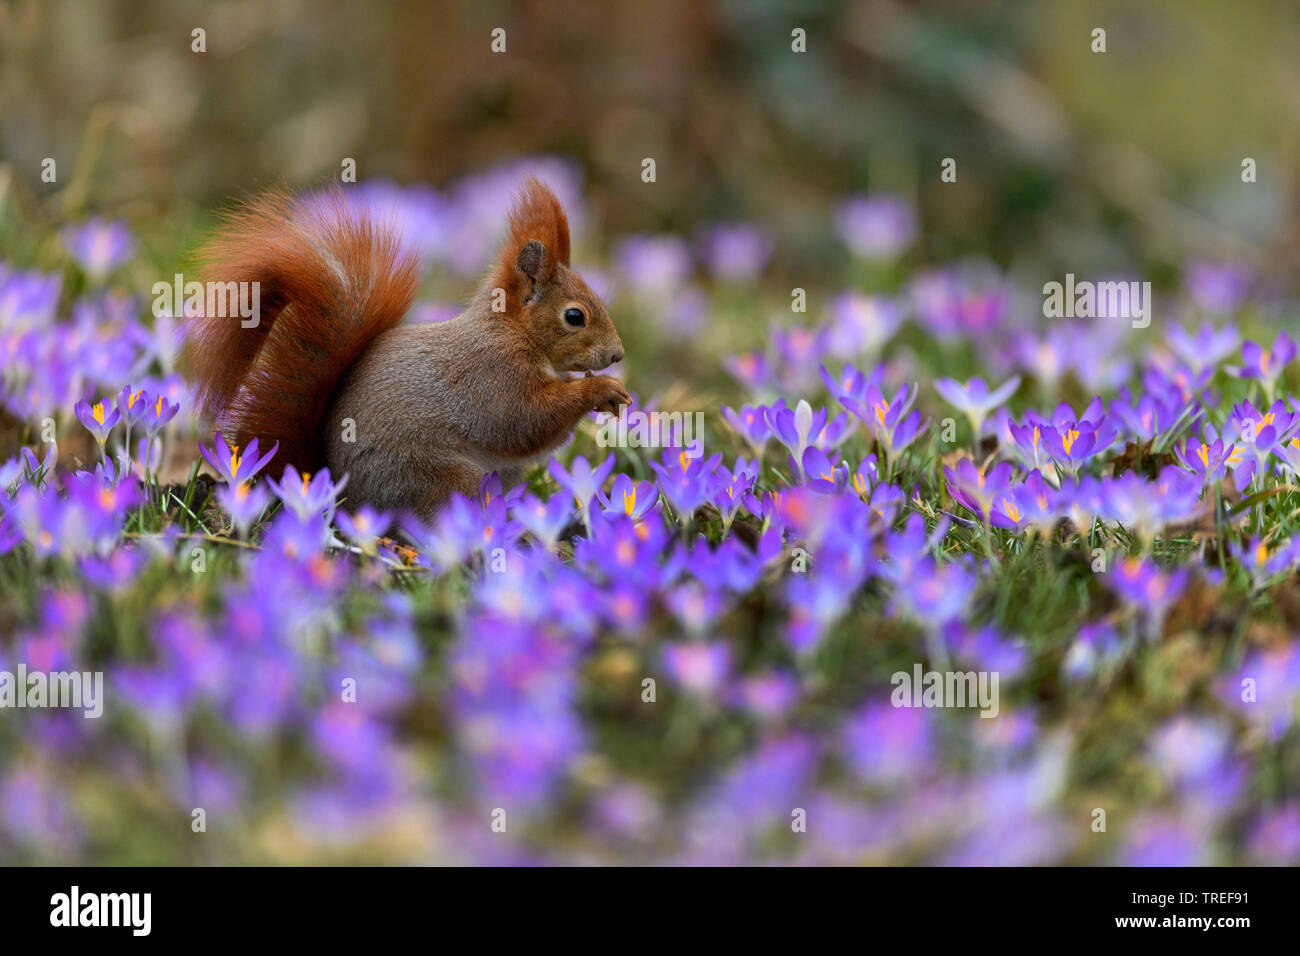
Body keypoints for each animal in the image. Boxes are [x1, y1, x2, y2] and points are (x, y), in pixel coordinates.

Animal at [179, 178, 629, 515]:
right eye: (575, 316)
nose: (617, 355)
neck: (514, 330)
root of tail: (339, 495)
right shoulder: (492, 373)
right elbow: (520, 421)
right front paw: (599, 389)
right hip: (437, 478)